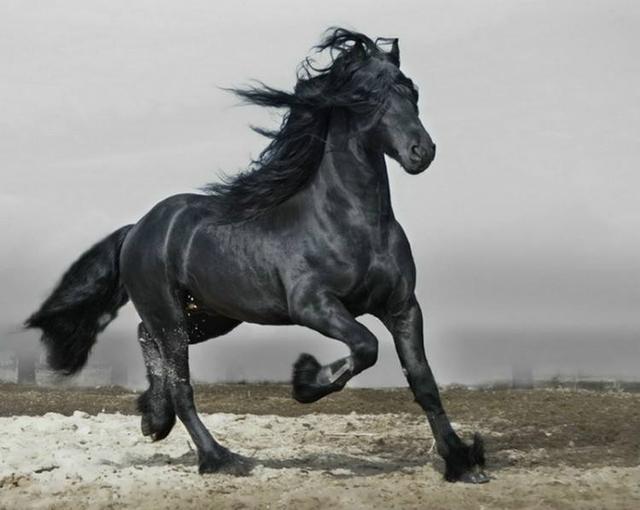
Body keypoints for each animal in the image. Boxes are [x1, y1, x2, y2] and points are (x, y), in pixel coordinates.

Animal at [25, 28, 488, 483]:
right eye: (368, 96)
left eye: (411, 90)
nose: (421, 151)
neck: (353, 224)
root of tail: (138, 228)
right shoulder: (312, 305)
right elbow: (365, 345)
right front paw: (306, 380)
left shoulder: (403, 307)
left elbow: (423, 381)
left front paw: (462, 462)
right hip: (171, 314)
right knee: (180, 383)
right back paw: (220, 458)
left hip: (210, 316)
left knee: (145, 337)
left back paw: (154, 419)